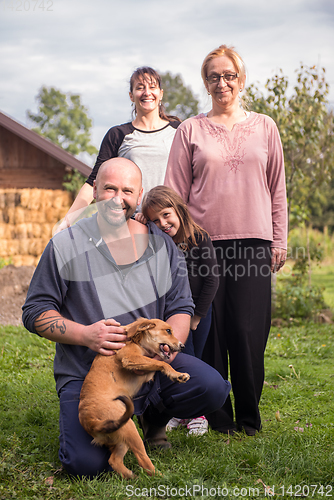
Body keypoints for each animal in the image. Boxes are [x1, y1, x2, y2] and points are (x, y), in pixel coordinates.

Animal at [77, 318, 189, 478]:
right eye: (168, 331)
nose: (182, 346)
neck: (134, 339)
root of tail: (90, 421)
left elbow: (158, 364)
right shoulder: (131, 358)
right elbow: (161, 362)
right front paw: (177, 374)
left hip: (120, 437)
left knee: (114, 461)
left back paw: (131, 477)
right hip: (130, 429)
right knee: (143, 460)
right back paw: (162, 477)